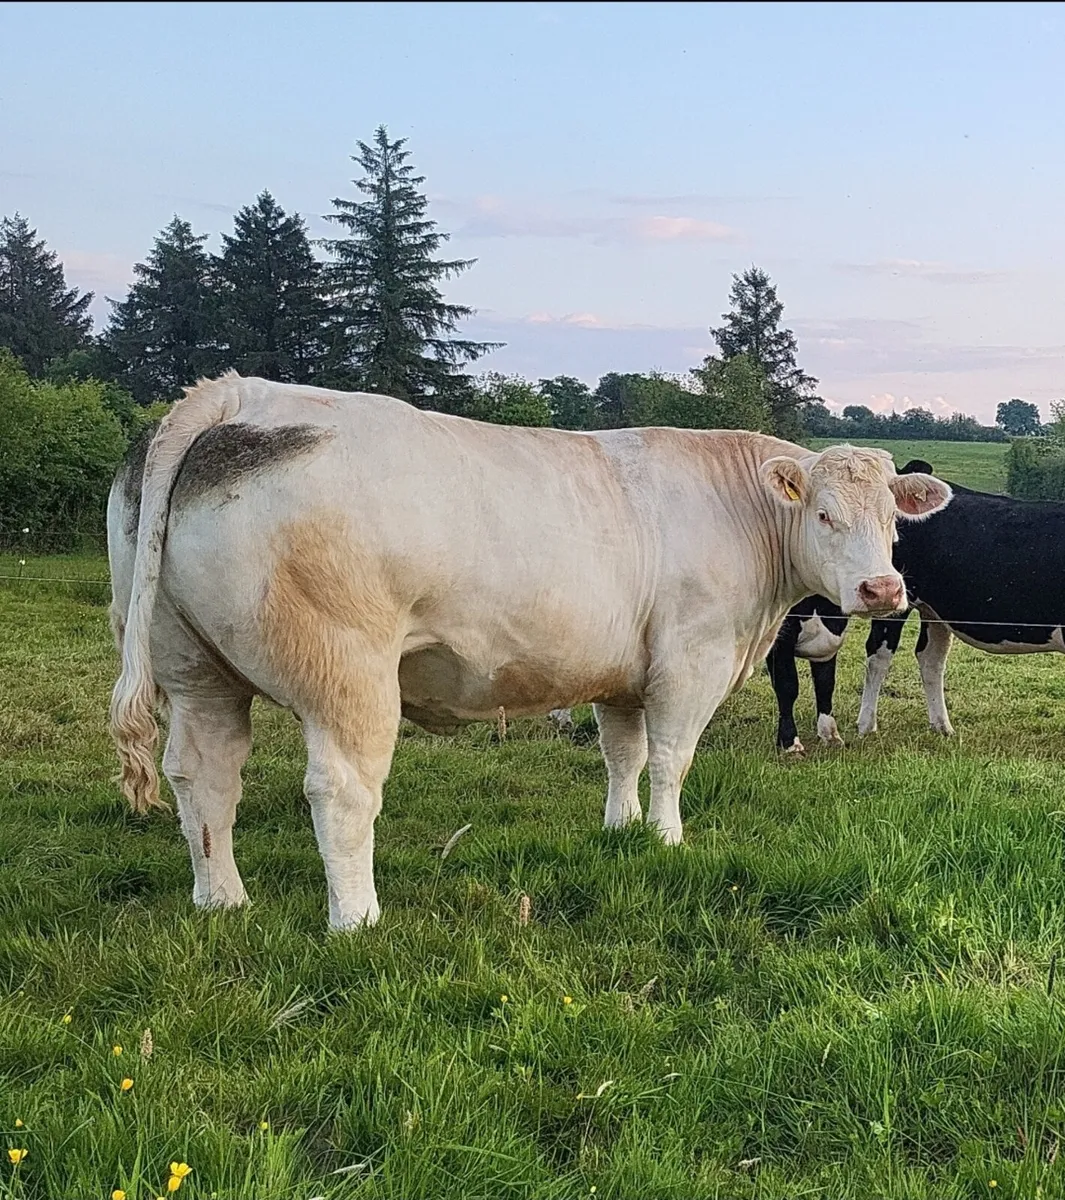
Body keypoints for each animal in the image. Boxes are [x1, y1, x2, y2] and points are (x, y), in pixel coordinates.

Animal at [108, 374, 950, 929]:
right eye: (824, 513)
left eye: (892, 519)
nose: (881, 588)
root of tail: (240, 394)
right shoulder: (690, 658)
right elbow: (671, 757)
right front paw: (667, 837)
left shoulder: (623, 672)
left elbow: (623, 754)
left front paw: (621, 829)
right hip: (346, 672)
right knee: (340, 790)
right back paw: (357, 918)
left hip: (194, 668)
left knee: (203, 776)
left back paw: (222, 899)